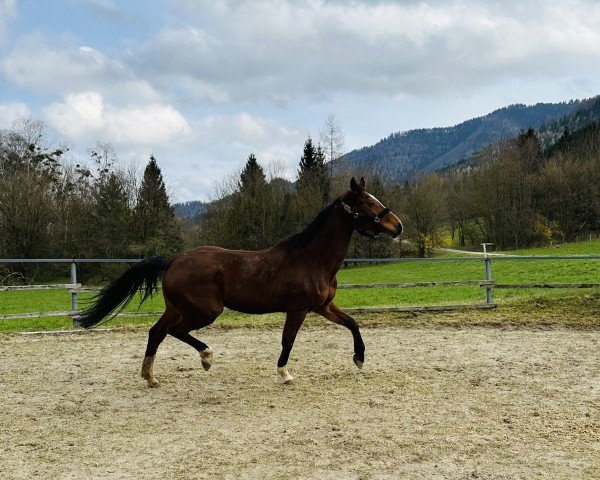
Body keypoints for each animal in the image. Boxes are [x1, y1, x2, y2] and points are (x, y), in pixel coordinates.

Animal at [75, 177, 404, 386]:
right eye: (368, 203)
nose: (397, 225)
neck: (312, 258)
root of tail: (174, 259)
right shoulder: (297, 310)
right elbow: (288, 341)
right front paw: (284, 374)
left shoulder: (323, 307)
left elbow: (352, 323)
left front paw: (359, 359)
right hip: (205, 311)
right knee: (175, 331)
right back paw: (206, 357)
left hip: (177, 307)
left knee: (157, 332)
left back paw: (151, 377)